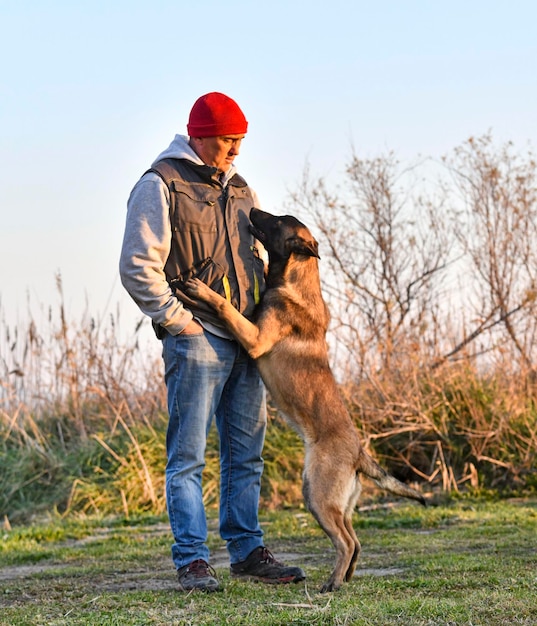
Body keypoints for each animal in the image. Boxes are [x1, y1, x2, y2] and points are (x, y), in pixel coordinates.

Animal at [180, 207, 422, 592]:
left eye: (278, 220)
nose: (251, 210)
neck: (297, 281)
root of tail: (359, 453)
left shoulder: (254, 337)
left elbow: (225, 308)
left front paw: (200, 289)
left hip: (317, 495)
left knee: (346, 541)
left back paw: (333, 583)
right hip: (339, 503)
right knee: (355, 540)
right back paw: (346, 576)